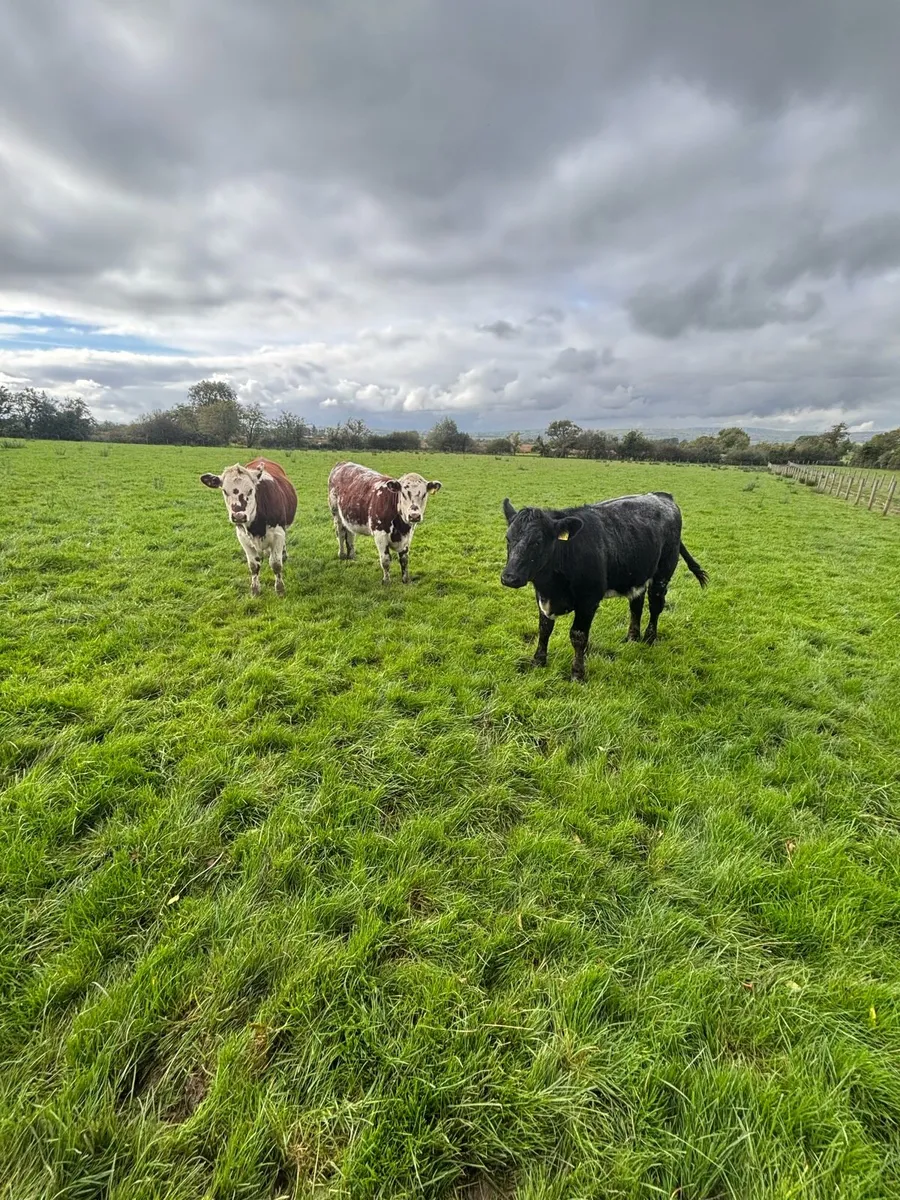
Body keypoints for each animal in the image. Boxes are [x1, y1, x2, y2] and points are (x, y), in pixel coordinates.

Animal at [200, 457, 297, 596]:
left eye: (251, 490)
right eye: (224, 491)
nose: (239, 516)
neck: (257, 527)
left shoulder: (278, 534)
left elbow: (276, 564)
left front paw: (280, 589)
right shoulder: (242, 537)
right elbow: (253, 565)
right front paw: (255, 590)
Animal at [500, 491, 708, 682]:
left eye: (537, 542)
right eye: (508, 538)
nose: (509, 577)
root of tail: (662, 496)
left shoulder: (588, 601)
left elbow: (578, 636)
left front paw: (577, 674)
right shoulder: (543, 597)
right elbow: (544, 629)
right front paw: (538, 662)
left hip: (663, 573)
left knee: (655, 606)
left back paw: (649, 639)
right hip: (637, 575)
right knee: (636, 606)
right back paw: (632, 638)